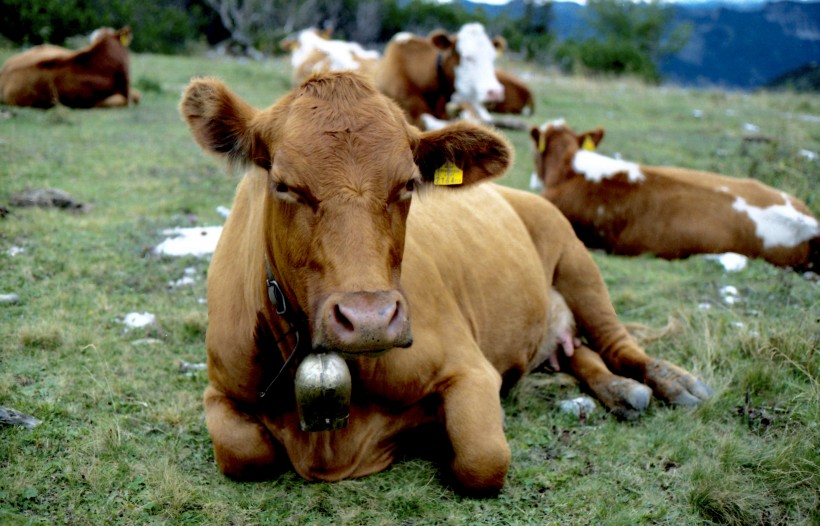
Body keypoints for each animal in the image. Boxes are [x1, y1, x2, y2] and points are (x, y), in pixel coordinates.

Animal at [181, 72, 712, 498]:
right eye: (284, 185)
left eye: (407, 185)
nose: (370, 319)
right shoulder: (219, 389)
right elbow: (243, 452)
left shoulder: (471, 369)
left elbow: (482, 459)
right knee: (576, 349)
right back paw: (619, 391)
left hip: (578, 262)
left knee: (617, 343)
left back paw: (670, 383)